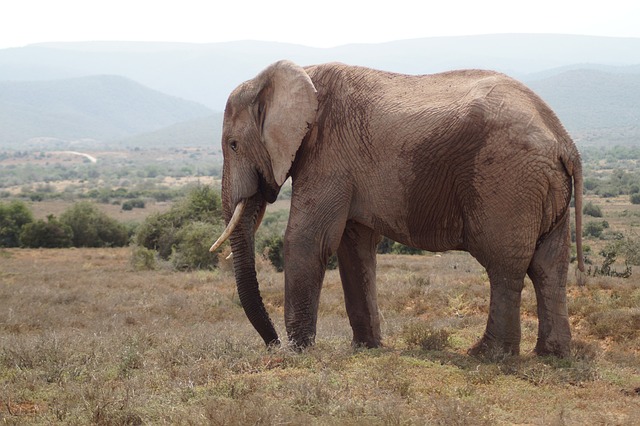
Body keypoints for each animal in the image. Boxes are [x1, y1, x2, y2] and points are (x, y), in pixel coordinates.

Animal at [210, 60, 584, 358]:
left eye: (233, 144)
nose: (272, 343)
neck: (299, 74)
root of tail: (564, 140)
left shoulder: (328, 155)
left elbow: (307, 241)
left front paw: (297, 352)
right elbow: (354, 248)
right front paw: (367, 347)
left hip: (506, 181)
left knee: (504, 265)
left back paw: (487, 355)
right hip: (542, 187)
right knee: (549, 267)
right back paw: (552, 354)